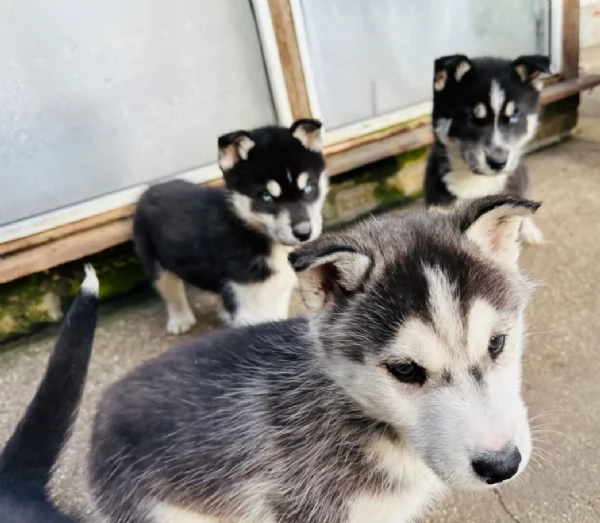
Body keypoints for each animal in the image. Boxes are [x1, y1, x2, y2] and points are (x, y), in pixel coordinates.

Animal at [134, 118, 328, 334]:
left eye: (309, 188)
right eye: (266, 197)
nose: (304, 233)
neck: (252, 232)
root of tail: (151, 188)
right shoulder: (252, 302)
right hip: (154, 261)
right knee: (170, 290)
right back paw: (180, 319)